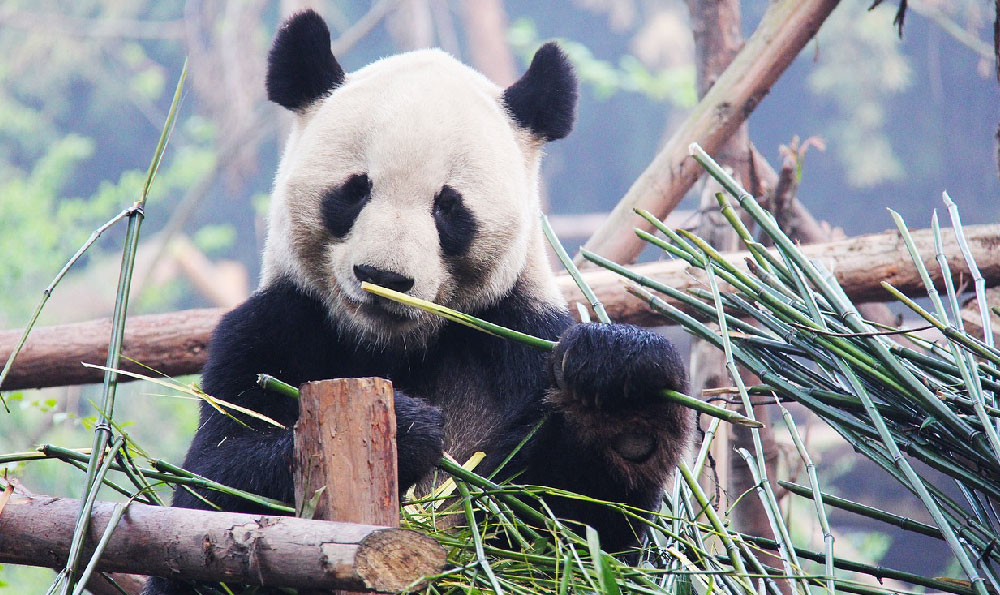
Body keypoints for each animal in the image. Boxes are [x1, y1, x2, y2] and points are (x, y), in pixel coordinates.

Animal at [145, 8, 692, 592]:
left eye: (448, 207)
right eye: (355, 190)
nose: (383, 276)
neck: (392, 347)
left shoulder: (518, 335)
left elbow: (569, 531)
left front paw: (620, 389)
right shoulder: (271, 328)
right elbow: (208, 489)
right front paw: (407, 429)